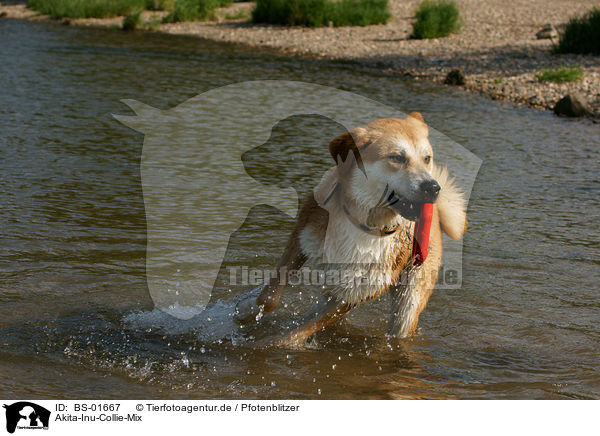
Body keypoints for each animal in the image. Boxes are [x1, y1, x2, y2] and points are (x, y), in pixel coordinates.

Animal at [234, 114, 468, 346]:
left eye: (427, 158)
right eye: (397, 158)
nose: (433, 187)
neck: (364, 223)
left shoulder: (356, 292)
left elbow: (300, 331)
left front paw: (273, 344)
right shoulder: (302, 237)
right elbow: (271, 296)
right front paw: (247, 312)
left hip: (408, 300)